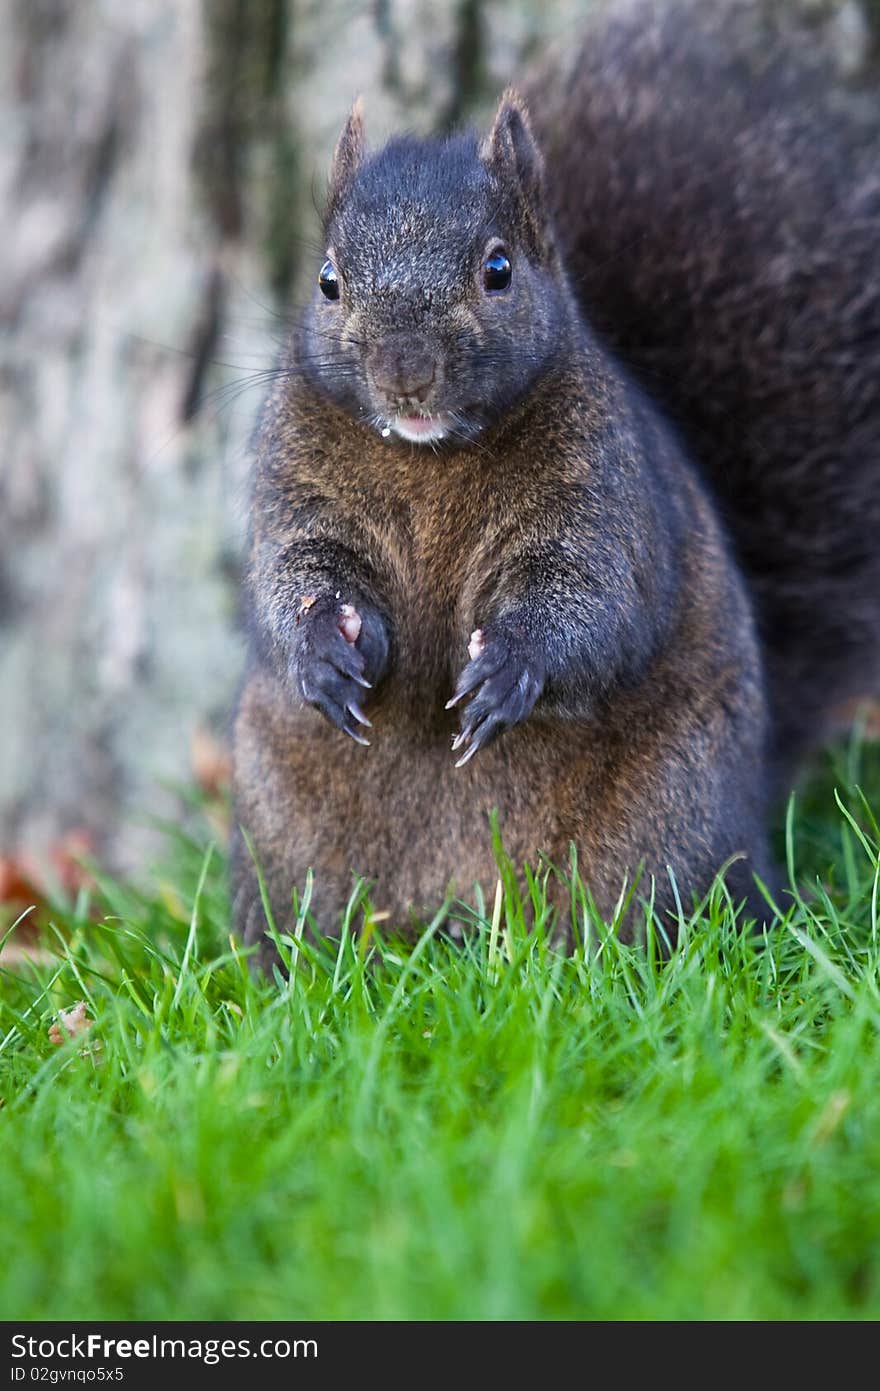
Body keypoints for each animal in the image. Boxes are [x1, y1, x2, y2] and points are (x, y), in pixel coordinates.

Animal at [232, 0, 878, 968]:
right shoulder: (295, 479)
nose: (404, 376)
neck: (429, 460)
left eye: (498, 270)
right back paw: (291, 968)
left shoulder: (603, 490)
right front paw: (323, 646)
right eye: (329, 281)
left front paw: (510, 667)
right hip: (282, 829)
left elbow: (592, 595)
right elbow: (295, 569)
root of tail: (444, 916)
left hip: (656, 829)